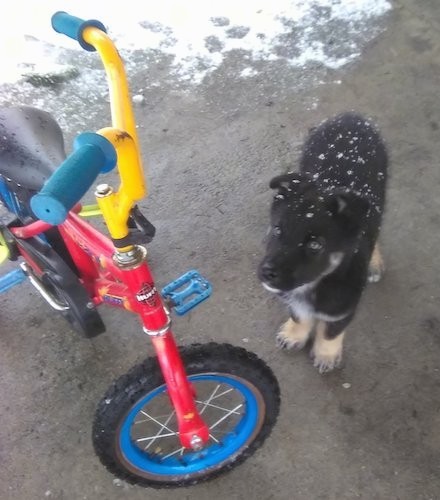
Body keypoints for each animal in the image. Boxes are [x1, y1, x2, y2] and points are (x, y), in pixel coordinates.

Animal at [258, 112, 388, 372]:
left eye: (315, 244)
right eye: (277, 230)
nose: (267, 273)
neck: (317, 283)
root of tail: (351, 117)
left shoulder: (343, 307)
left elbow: (331, 331)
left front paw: (326, 354)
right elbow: (299, 314)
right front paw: (295, 333)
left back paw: (375, 262)